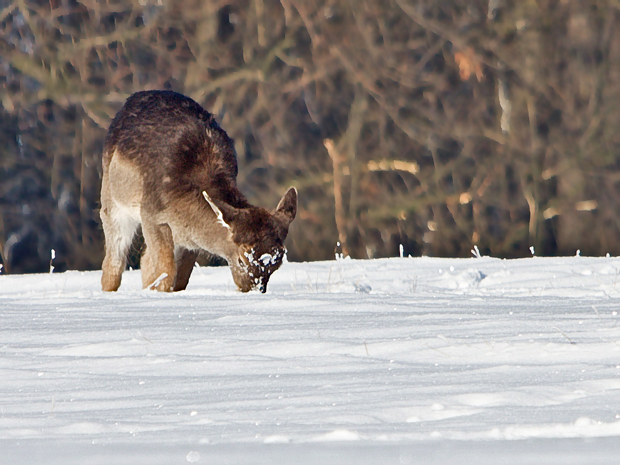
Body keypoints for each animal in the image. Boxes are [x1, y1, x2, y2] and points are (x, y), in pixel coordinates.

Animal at [100, 90, 298, 292]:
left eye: (277, 263)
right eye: (242, 259)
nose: (254, 291)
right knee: (113, 262)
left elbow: (179, 278)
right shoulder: (151, 214)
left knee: (144, 260)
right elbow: (165, 271)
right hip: (111, 196)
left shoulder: (187, 241)